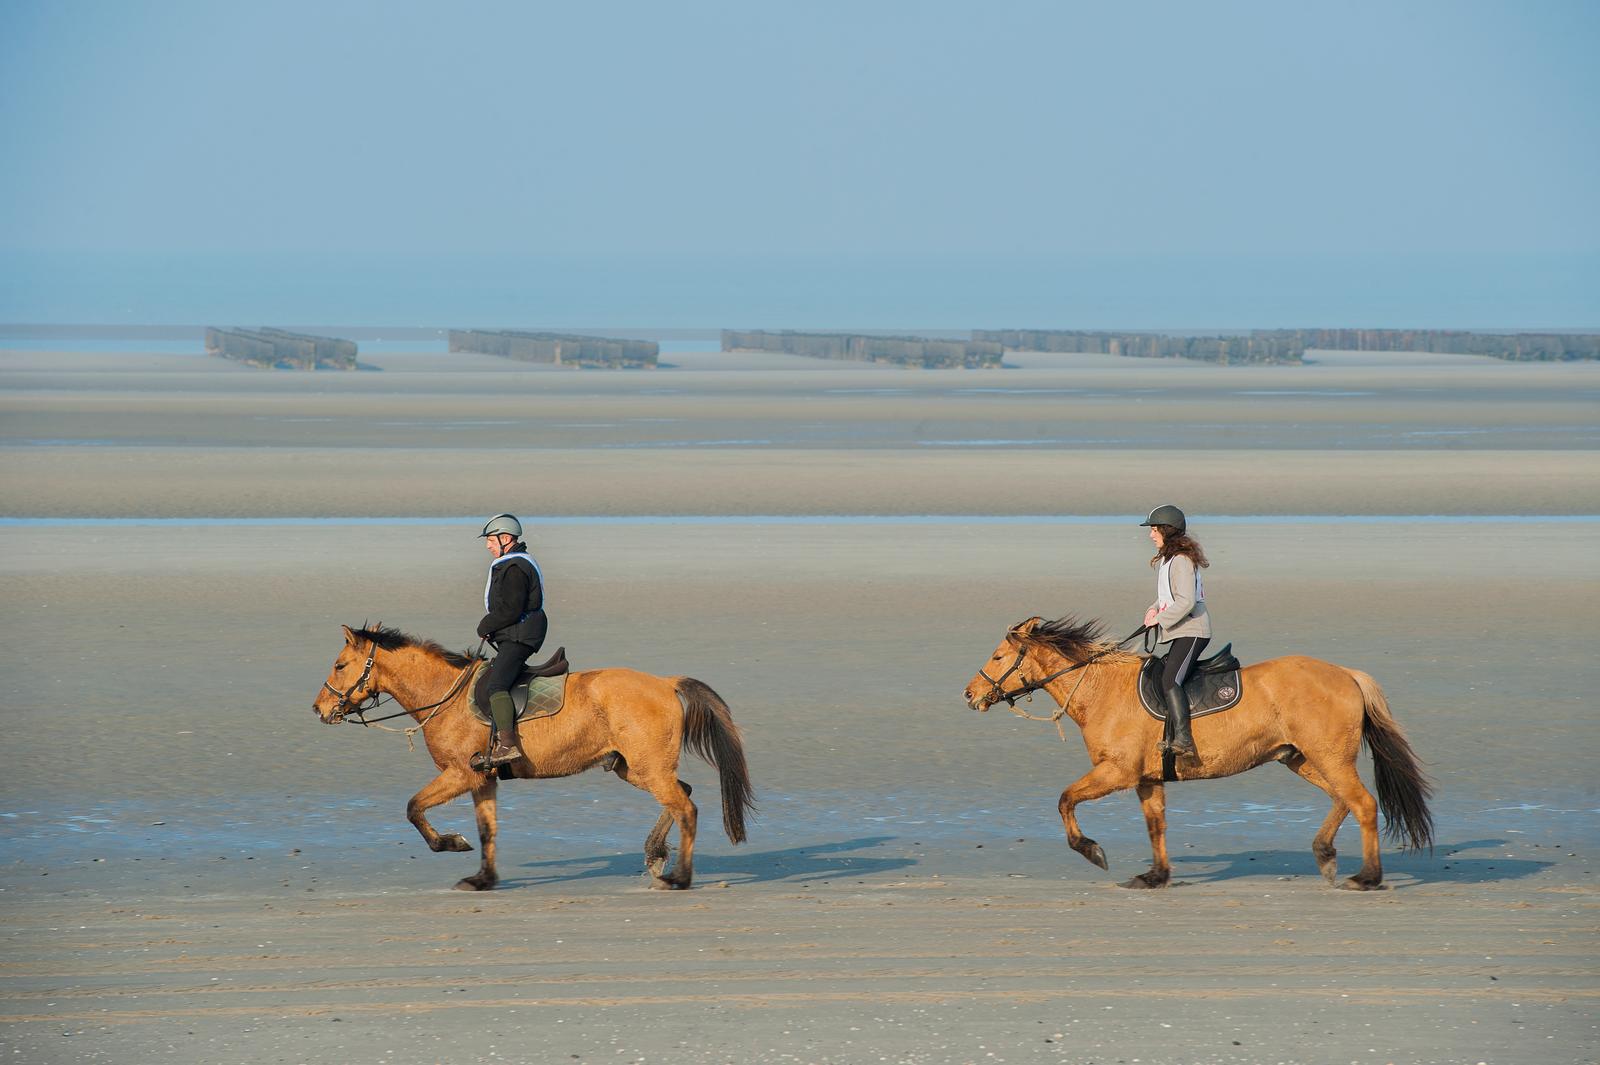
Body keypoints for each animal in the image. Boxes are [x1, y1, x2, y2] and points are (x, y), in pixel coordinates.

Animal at [311, 624, 753, 891]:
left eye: (340, 665)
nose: (319, 709)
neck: (445, 694)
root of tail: (665, 682)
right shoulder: (482, 779)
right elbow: (487, 830)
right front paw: (483, 879)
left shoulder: (460, 775)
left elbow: (413, 808)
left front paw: (451, 843)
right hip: (635, 769)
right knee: (683, 796)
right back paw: (655, 854)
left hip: (648, 770)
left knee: (687, 808)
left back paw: (679, 876)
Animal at [963, 616, 1433, 890]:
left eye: (998, 655)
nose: (969, 695)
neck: (1102, 690)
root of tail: (1347, 674)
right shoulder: (1147, 779)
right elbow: (1155, 827)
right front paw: (1155, 876)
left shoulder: (1116, 772)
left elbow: (1065, 800)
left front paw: (1092, 850)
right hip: (1300, 758)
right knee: (1343, 800)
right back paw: (1325, 854)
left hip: (1328, 758)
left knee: (1363, 803)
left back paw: (1367, 877)